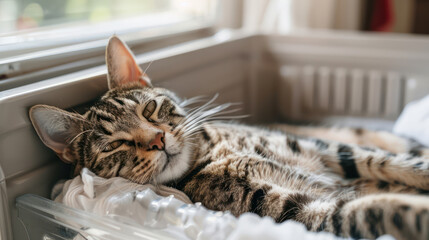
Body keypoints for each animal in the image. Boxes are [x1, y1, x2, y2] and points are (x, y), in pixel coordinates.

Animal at [30, 35, 428, 240]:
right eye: (115, 145)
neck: (214, 151)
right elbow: (368, 209)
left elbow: (393, 163)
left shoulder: (328, 148)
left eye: (150, 109)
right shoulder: (288, 208)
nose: (157, 140)